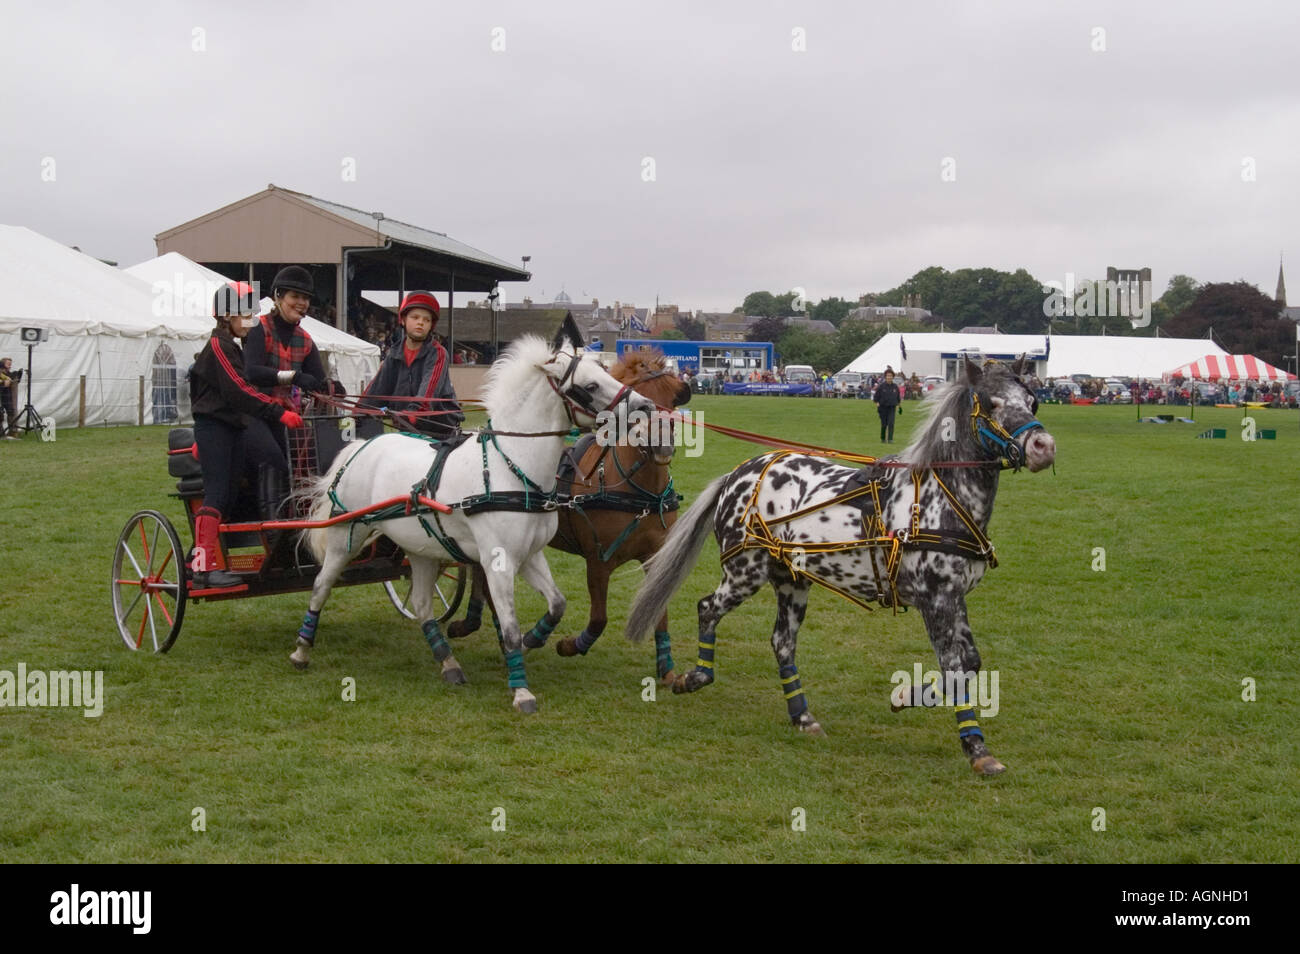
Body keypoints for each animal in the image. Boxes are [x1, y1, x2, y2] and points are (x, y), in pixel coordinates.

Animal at [291, 327, 655, 712]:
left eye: (606, 371)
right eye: (590, 385)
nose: (645, 407)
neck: (511, 467)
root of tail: (361, 446)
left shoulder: (530, 556)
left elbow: (557, 605)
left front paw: (531, 641)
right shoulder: (498, 562)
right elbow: (509, 625)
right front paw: (521, 690)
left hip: (420, 548)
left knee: (422, 605)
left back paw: (448, 663)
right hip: (347, 534)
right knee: (321, 585)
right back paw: (301, 650)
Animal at [447, 348, 691, 681]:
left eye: (670, 401)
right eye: (645, 396)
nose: (660, 443)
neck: (636, 489)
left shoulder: (655, 556)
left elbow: (658, 611)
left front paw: (667, 669)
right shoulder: (598, 560)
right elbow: (599, 619)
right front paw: (567, 644)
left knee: (479, 572)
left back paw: (470, 622)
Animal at [624, 358, 1060, 779]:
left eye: (1033, 401)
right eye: (991, 403)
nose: (1043, 446)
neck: (938, 500)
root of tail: (738, 475)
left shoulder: (954, 598)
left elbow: (969, 664)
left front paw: (907, 696)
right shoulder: (935, 601)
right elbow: (954, 669)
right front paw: (977, 750)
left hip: (792, 582)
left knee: (782, 642)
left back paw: (802, 716)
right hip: (744, 573)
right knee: (707, 609)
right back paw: (695, 678)